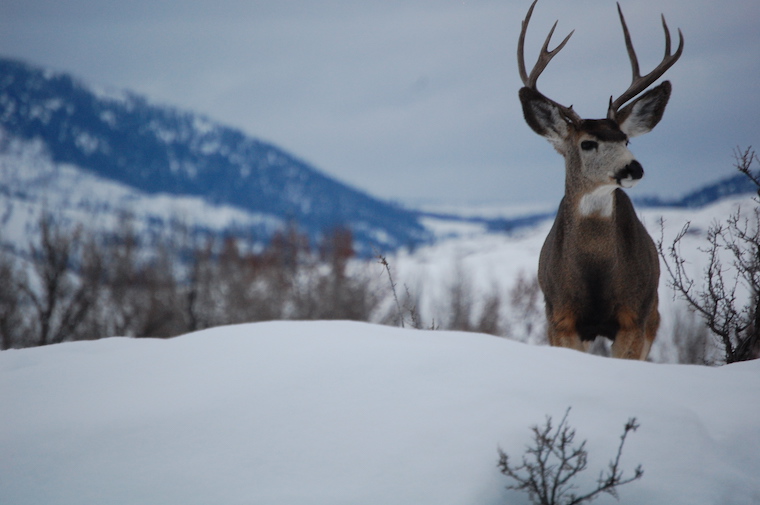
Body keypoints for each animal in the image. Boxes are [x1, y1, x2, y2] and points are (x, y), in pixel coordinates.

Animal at [517, 0, 683, 360]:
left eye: (626, 139)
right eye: (587, 143)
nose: (633, 168)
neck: (595, 274)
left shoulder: (635, 314)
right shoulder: (561, 316)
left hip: (654, 315)